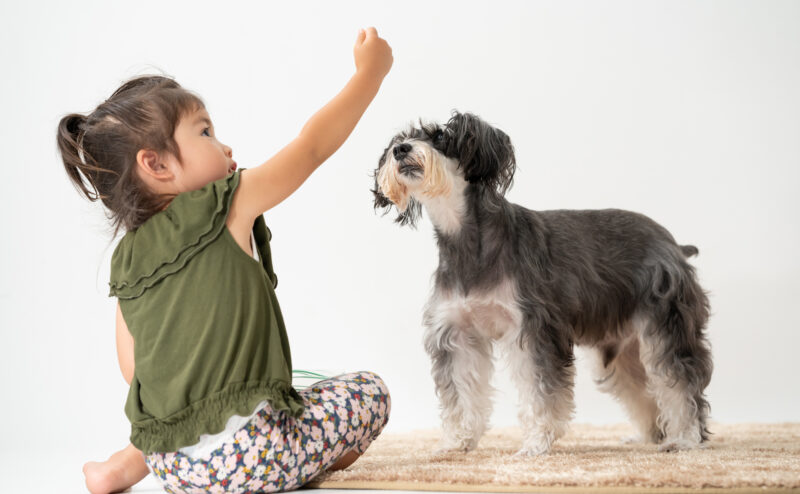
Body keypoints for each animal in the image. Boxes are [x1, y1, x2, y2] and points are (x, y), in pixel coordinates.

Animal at [372, 112, 716, 456]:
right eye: (399, 138)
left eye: (441, 136)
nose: (400, 150)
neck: (468, 242)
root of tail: (672, 243)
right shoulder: (457, 335)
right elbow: (460, 396)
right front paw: (457, 442)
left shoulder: (533, 329)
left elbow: (539, 393)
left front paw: (535, 444)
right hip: (620, 350)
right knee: (642, 388)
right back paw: (650, 436)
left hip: (666, 327)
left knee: (680, 383)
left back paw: (684, 438)